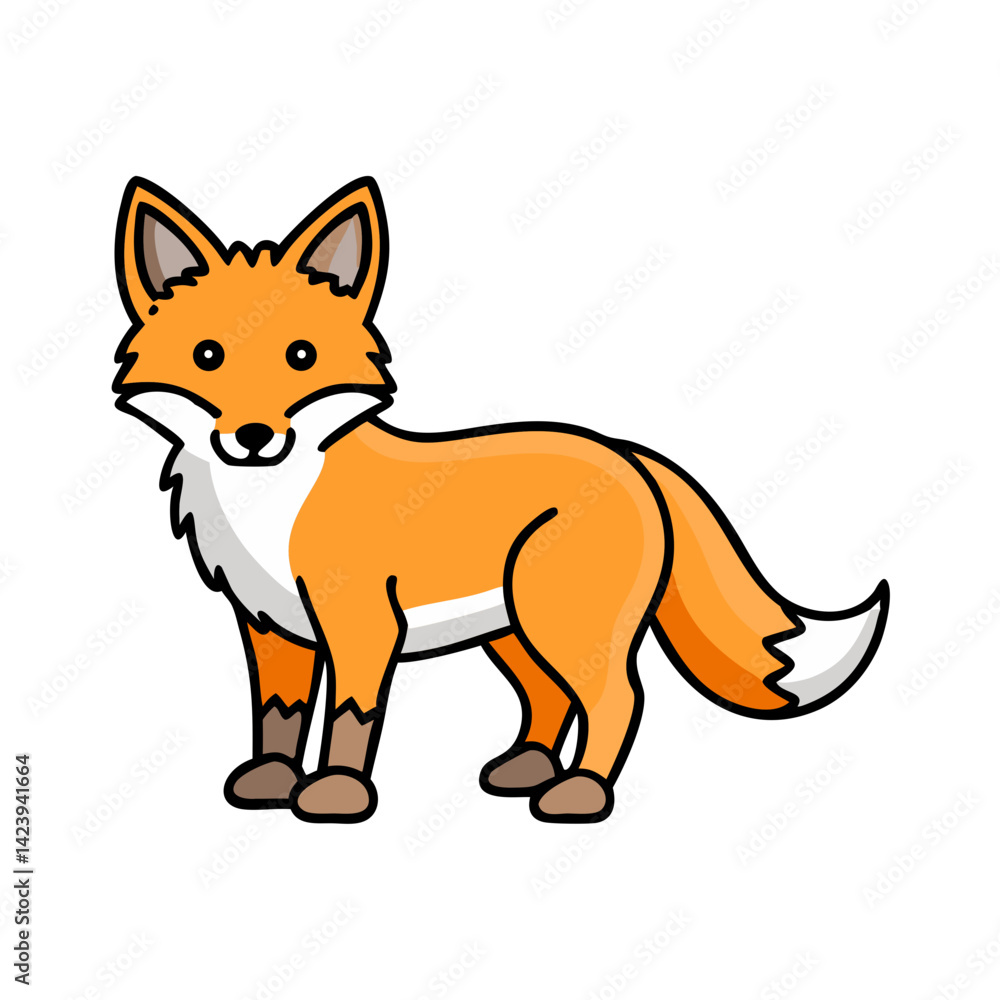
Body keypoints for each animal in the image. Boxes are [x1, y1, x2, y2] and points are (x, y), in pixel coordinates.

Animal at [112, 175, 889, 824]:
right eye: (208, 356)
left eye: (301, 357)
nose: (252, 438)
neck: (270, 502)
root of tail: (624, 452)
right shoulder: (270, 623)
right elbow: (278, 713)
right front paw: (270, 781)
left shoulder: (361, 621)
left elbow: (352, 714)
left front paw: (337, 794)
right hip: (514, 629)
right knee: (550, 698)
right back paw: (526, 769)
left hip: (561, 621)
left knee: (619, 697)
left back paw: (580, 793)